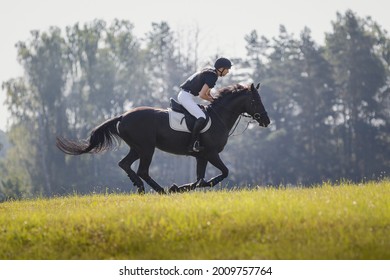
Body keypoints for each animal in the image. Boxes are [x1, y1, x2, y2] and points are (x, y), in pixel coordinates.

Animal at [57, 82, 272, 194]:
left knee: (125, 164)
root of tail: (122, 116)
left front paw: (181, 187)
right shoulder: (211, 154)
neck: (219, 116)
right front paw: (177, 188)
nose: (267, 121)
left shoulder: (201, 157)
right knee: (142, 170)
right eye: (256, 100)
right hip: (147, 148)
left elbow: (200, 179)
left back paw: (141, 187)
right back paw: (160, 190)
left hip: (137, 148)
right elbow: (222, 173)